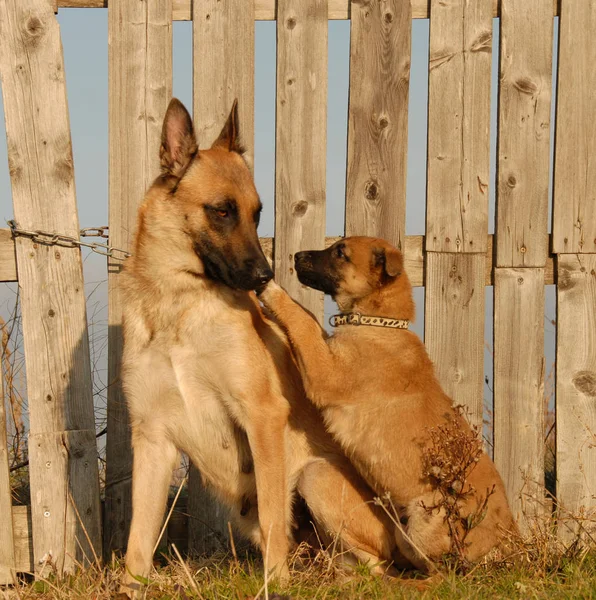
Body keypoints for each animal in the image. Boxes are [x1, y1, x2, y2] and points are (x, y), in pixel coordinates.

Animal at [120, 103, 400, 596]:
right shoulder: (152, 438)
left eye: (257, 213)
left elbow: (273, 517)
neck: (178, 304)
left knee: (369, 563)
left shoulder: (262, 415)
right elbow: (139, 538)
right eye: (221, 211)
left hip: (314, 476)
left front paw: (276, 584)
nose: (265, 277)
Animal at [260, 237, 516, 568]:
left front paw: (271, 290)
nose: (296, 255)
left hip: (420, 516)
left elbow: (303, 320)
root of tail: (509, 533)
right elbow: (312, 322)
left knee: (437, 569)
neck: (380, 323)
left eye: (340, 253)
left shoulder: (325, 374)